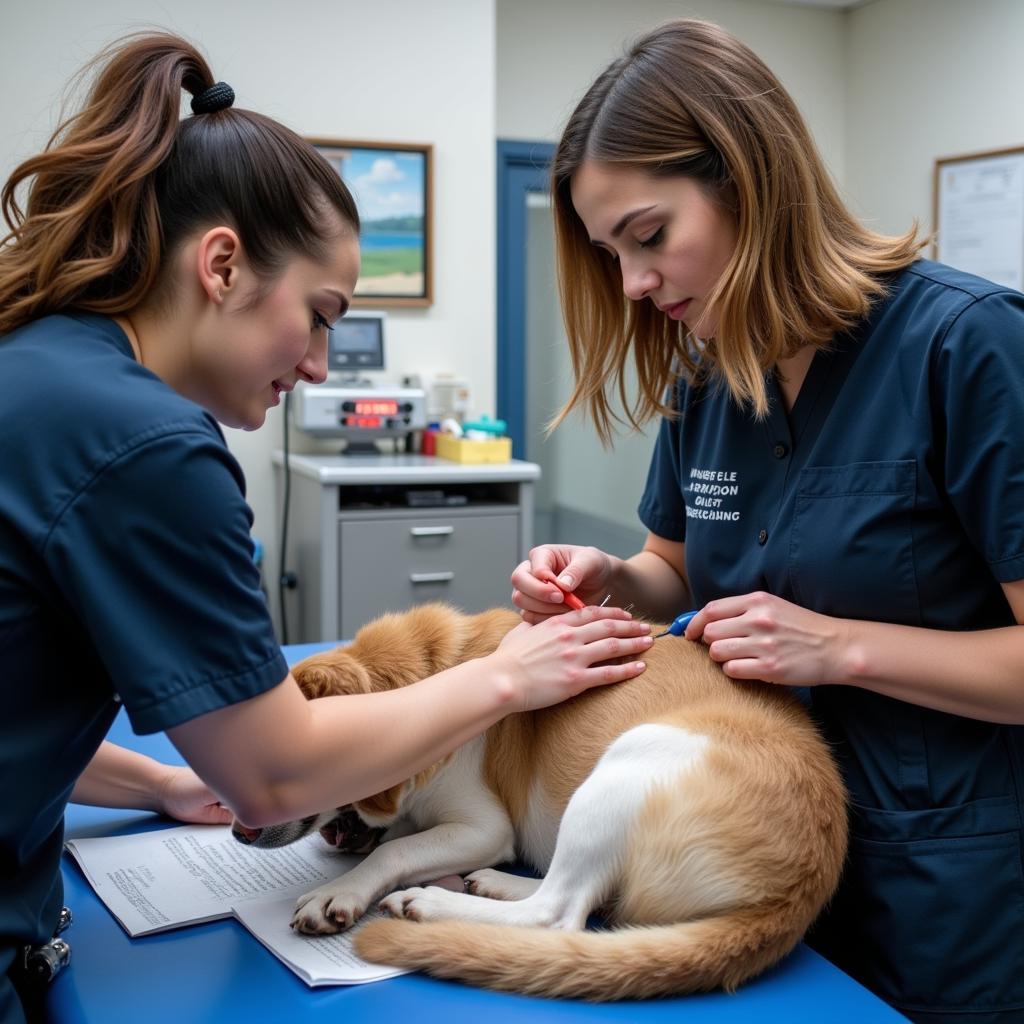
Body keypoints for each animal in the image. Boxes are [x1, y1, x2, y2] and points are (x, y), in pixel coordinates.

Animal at [234, 598, 847, 999]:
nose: (237, 832)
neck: (435, 677)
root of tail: (797, 893)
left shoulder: (483, 827)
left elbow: (395, 849)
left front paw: (341, 891)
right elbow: (397, 835)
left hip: (625, 767)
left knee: (559, 913)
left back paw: (434, 906)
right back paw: (495, 884)